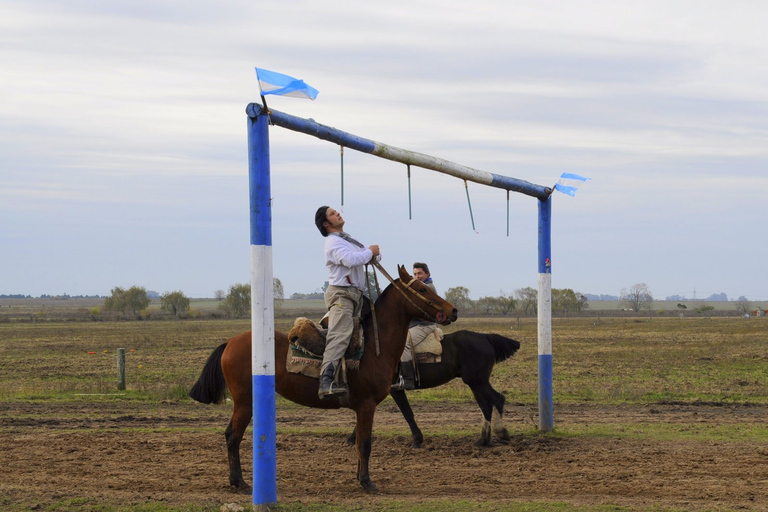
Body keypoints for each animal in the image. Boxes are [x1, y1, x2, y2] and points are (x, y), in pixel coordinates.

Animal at [190, 264, 456, 492]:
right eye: (422, 288)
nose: (452, 311)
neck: (373, 346)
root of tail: (230, 342)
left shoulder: (364, 407)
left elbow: (360, 443)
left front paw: (360, 477)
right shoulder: (367, 405)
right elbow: (365, 444)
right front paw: (367, 482)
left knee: (230, 435)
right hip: (245, 401)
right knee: (233, 436)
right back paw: (240, 482)